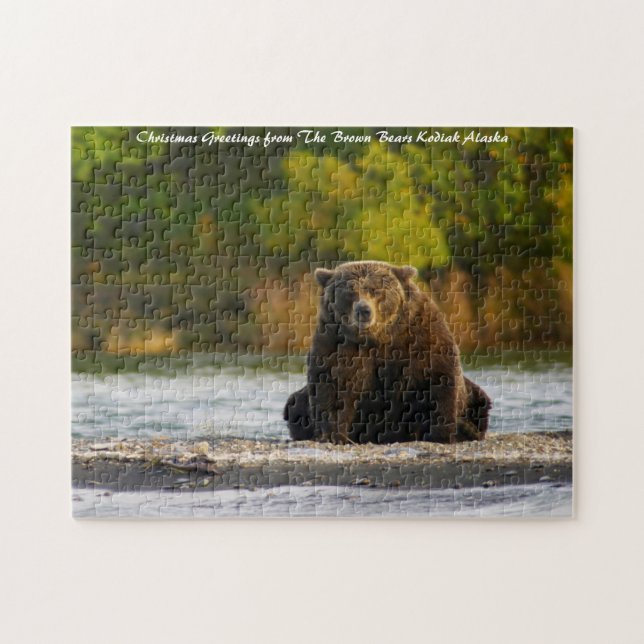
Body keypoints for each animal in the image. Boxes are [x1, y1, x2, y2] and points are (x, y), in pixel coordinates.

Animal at [284, 260, 491, 444]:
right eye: (350, 291)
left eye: (376, 290)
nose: (364, 310)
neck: (377, 338)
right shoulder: (335, 343)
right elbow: (332, 386)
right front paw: (333, 435)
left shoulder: (421, 336)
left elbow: (438, 380)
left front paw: (439, 434)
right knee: (295, 404)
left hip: (473, 397)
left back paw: (466, 429)